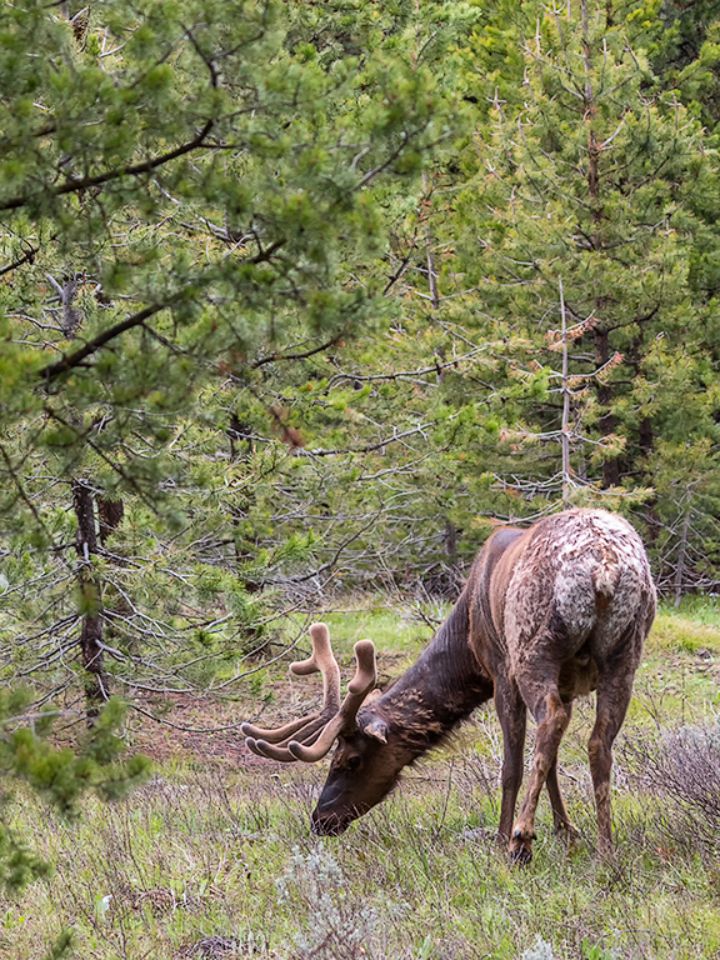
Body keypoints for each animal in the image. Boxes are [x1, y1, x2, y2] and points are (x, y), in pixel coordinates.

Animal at [243, 508, 656, 863]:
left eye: (350, 760)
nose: (320, 819)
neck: (467, 641)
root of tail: (603, 568)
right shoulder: (566, 684)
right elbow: (551, 760)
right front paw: (567, 831)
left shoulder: (501, 669)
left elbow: (513, 765)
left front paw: (503, 836)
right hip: (625, 654)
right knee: (598, 741)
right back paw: (606, 848)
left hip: (533, 649)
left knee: (552, 720)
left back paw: (520, 842)